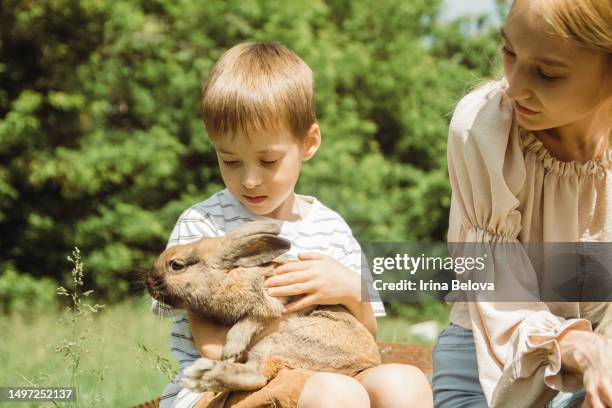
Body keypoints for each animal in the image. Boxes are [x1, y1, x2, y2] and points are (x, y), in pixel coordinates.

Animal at [145, 222, 380, 394]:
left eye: (176, 265)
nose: (147, 283)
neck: (227, 277)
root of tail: (364, 364)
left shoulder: (270, 303)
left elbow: (248, 322)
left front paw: (231, 350)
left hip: (279, 341)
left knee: (258, 375)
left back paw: (203, 375)